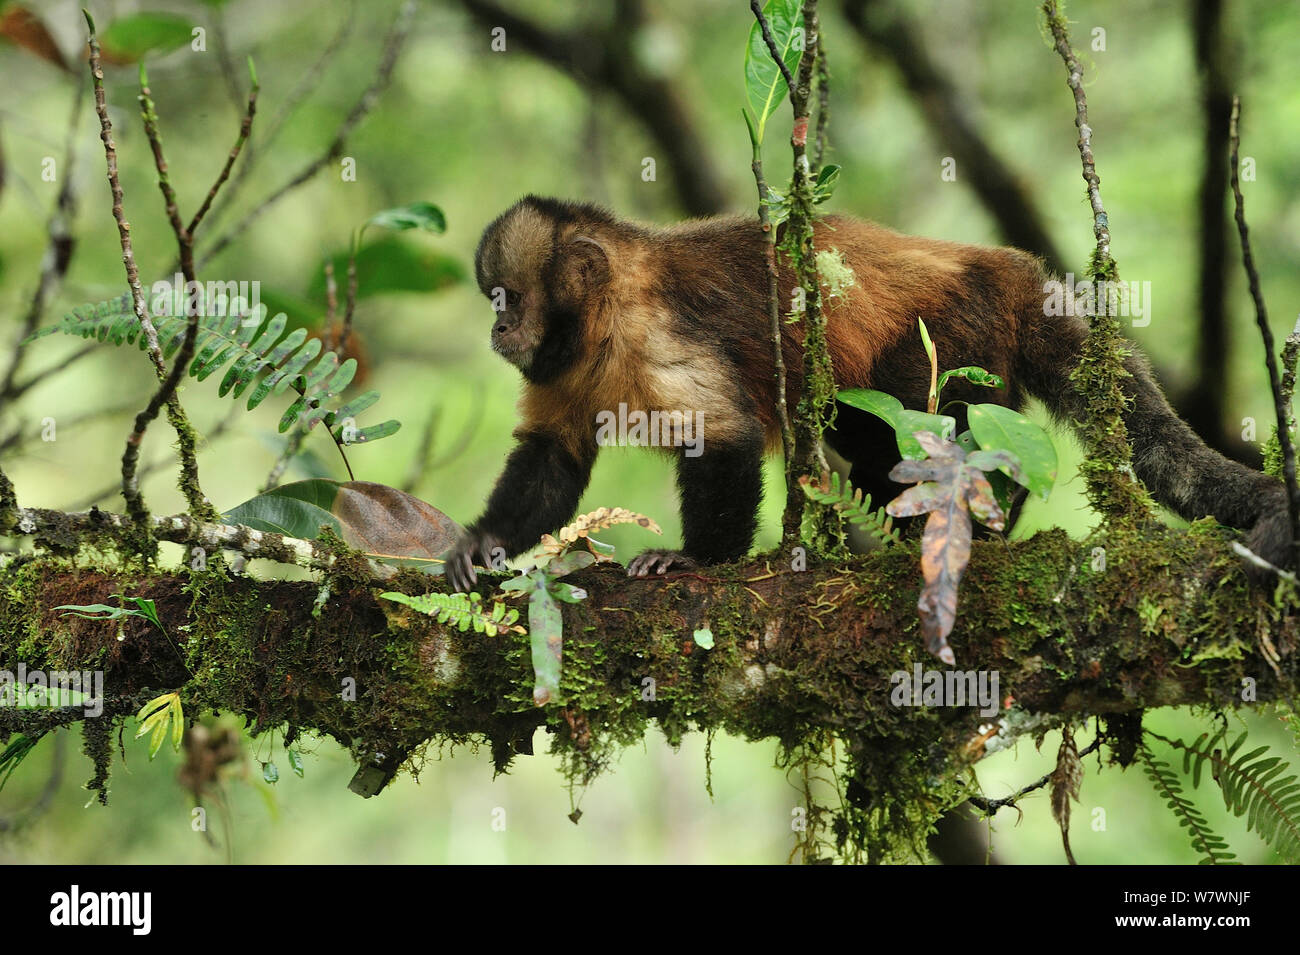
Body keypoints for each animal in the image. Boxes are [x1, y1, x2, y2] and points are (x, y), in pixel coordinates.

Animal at [443, 194, 1291, 591]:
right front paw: (484, 546)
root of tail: (1007, 267)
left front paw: (693, 561)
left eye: (505, 299)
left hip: (956, 329)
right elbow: (551, 457)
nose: (496, 329)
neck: (600, 323)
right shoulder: (562, 368)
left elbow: (724, 435)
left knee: (908, 419)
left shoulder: (653, 334)